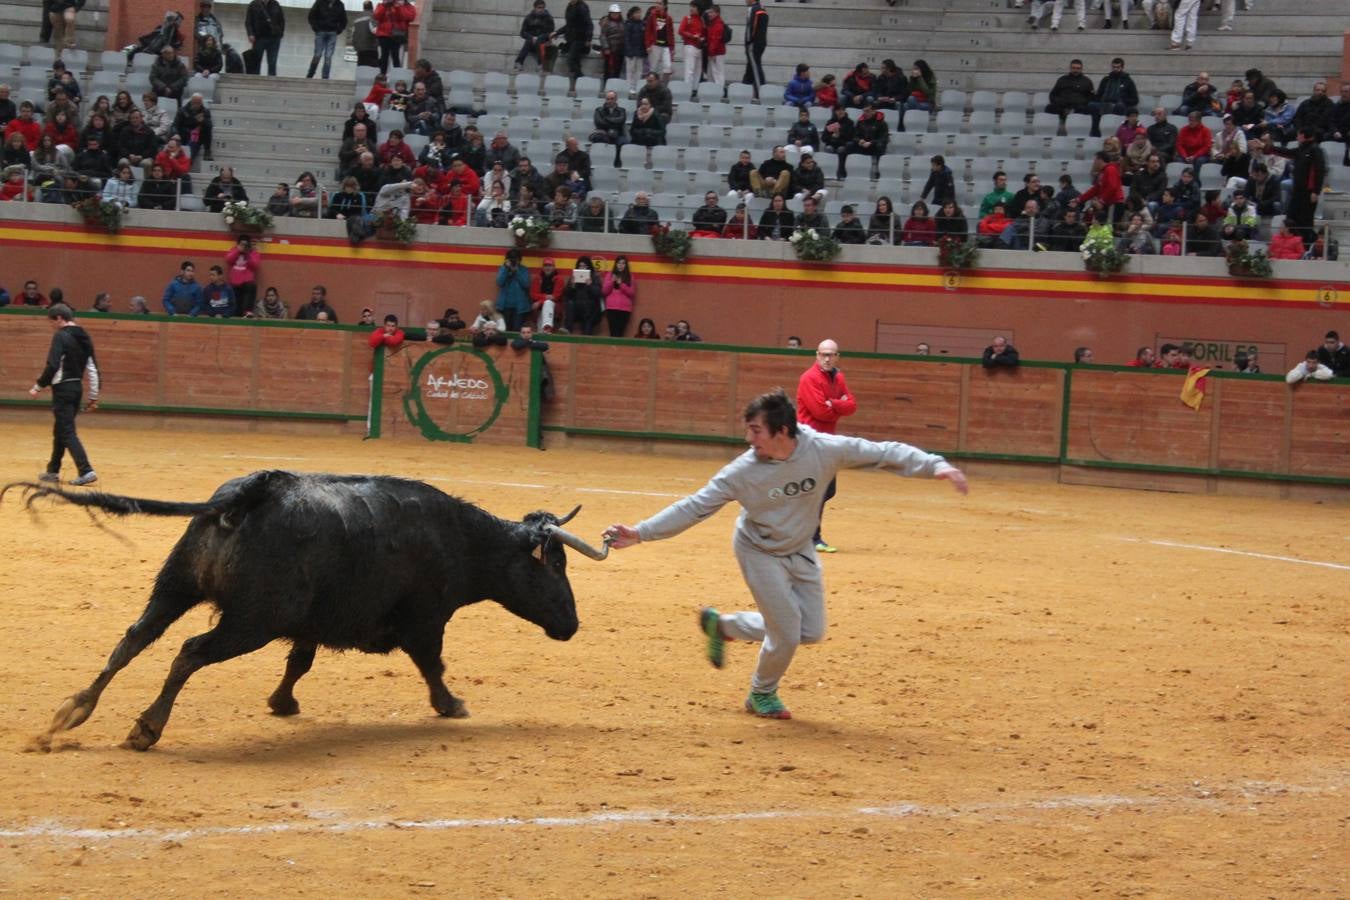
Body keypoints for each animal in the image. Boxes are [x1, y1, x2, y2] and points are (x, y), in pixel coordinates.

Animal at [1, 472, 612, 755]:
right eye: (556, 566)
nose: (572, 624)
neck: (461, 539)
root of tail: (249, 494)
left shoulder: (314, 622)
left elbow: (300, 662)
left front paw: (282, 703)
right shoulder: (425, 619)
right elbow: (432, 665)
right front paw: (452, 705)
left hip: (173, 588)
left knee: (132, 639)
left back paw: (71, 713)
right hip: (248, 621)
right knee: (188, 653)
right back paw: (147, 728)